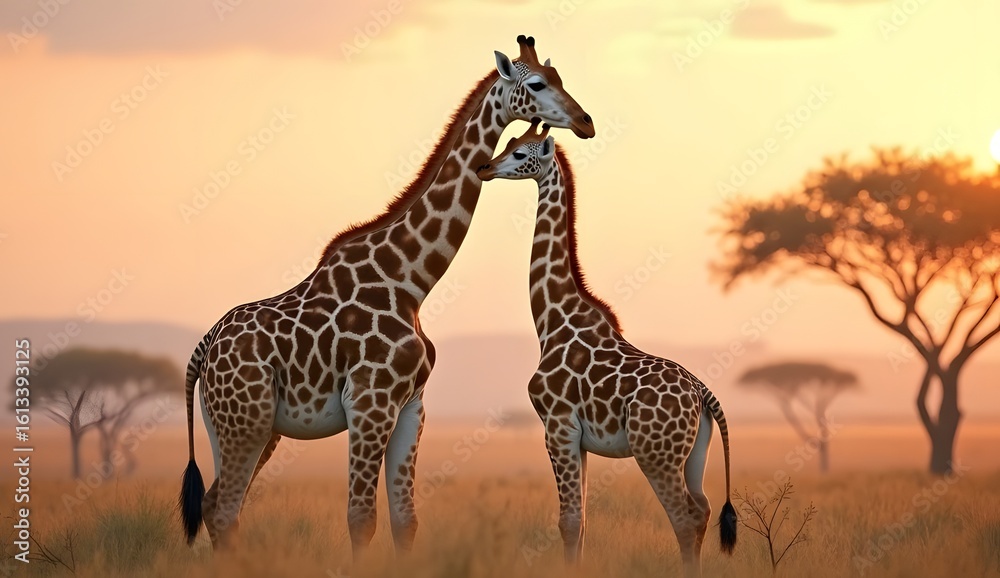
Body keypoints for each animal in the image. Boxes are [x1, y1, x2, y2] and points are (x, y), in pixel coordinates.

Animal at [178, 36, 596, 558]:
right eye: (537, 83)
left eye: (560, 76)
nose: (586, 121)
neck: (410, 280)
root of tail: (205, 347)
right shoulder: (370, 401)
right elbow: (361, 518)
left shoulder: (410, 406)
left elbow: (404, 521)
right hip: (246, 421)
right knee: (225, 510)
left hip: (239, 426)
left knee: (216, 506)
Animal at [477, 123, 737, 578]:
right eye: (508, 143)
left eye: (521, 153)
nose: (485, 168)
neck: (552, 321)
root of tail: (702, 394)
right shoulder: (577, 438)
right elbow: (580, 522)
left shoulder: (557, 424)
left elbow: (568, 521)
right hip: (695, 453)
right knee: (704, 510)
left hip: (655, 452)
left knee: (685, 516)